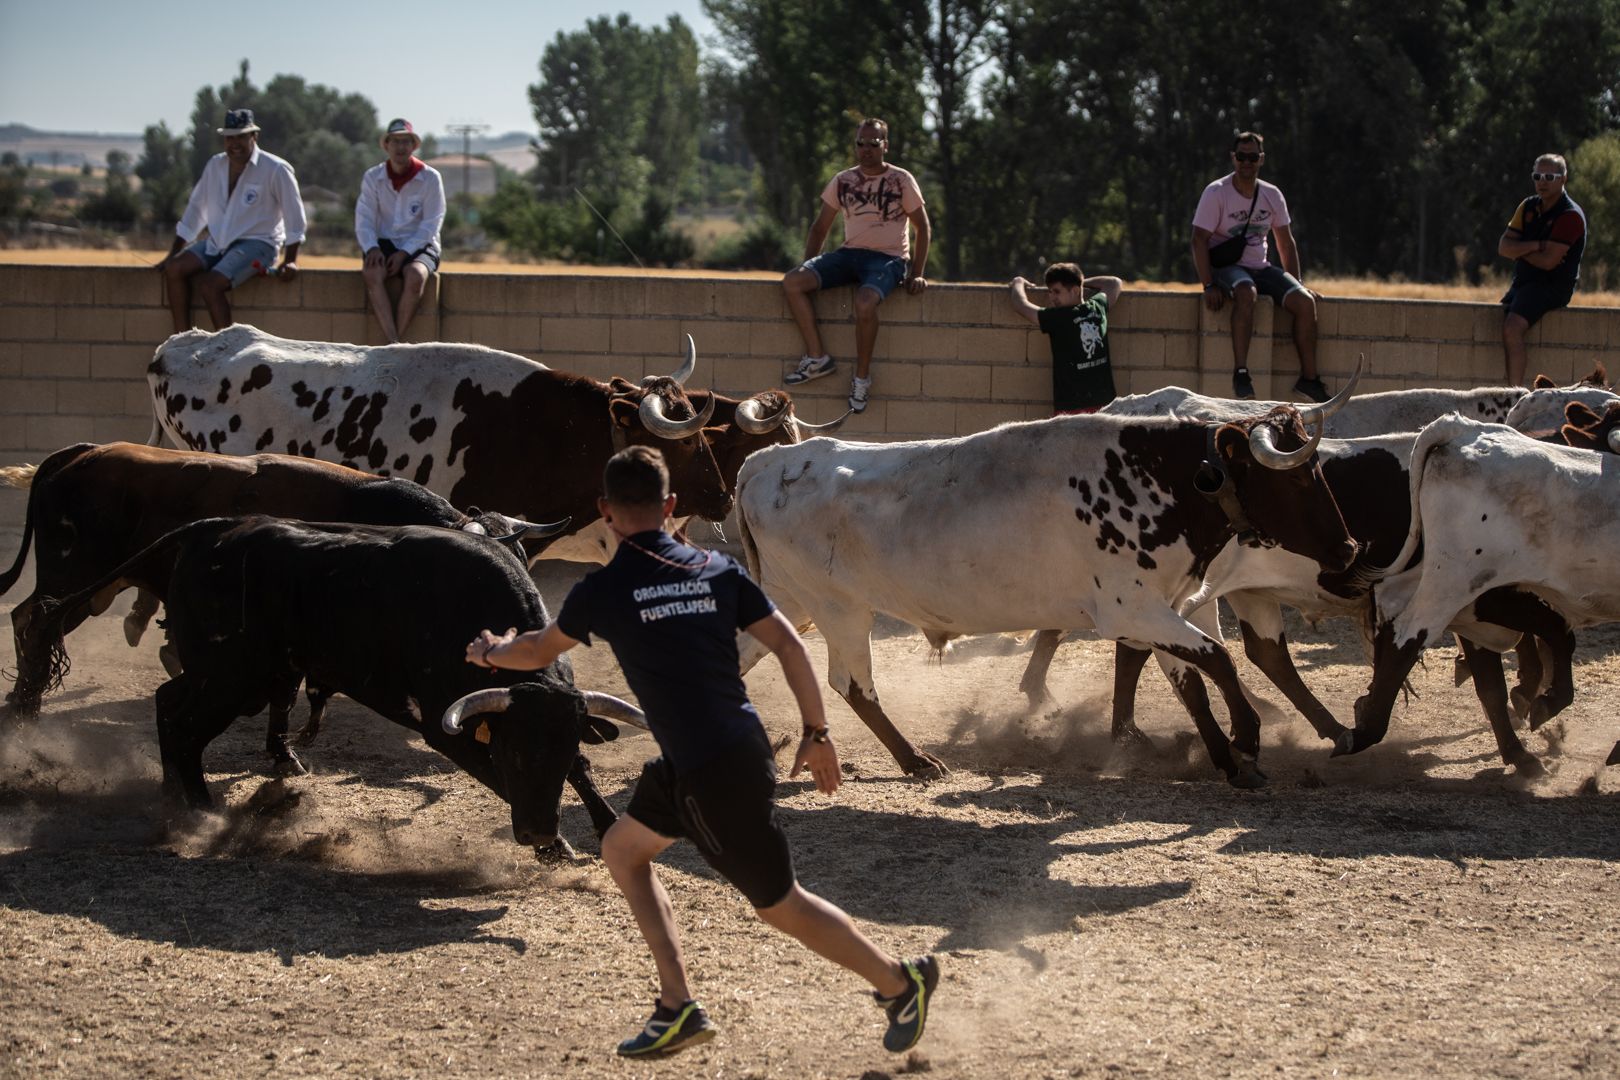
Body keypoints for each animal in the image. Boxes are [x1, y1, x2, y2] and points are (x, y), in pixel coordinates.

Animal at [33, 518, 625, 848]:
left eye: (554, 750)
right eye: (514, 753)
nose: (538, 832)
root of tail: (208, 533)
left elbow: (582, 771)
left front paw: (601, 828)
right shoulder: (443, 728)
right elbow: (498, 778)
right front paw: (556, 848)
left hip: (225, 677)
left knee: (166, 705)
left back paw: (171, 796)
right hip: (229, 681)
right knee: (183, 729)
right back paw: (203, 810)